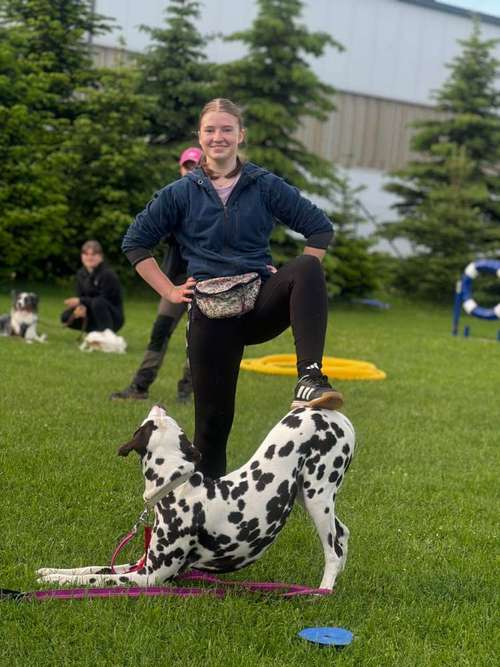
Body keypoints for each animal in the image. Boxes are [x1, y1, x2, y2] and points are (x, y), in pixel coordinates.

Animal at [37, 404, 354, 592]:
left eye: (149, 423)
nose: (158, 404)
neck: (177, 490)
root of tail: (331, 414)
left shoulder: (148, 576)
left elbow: (96, 577)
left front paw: (55, 581)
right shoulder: (141, 564)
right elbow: (90, 567)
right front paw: (50, 571)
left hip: (317, 498)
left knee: (333, 550)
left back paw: (323, 591)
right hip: (306, 494)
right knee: (343, 534)